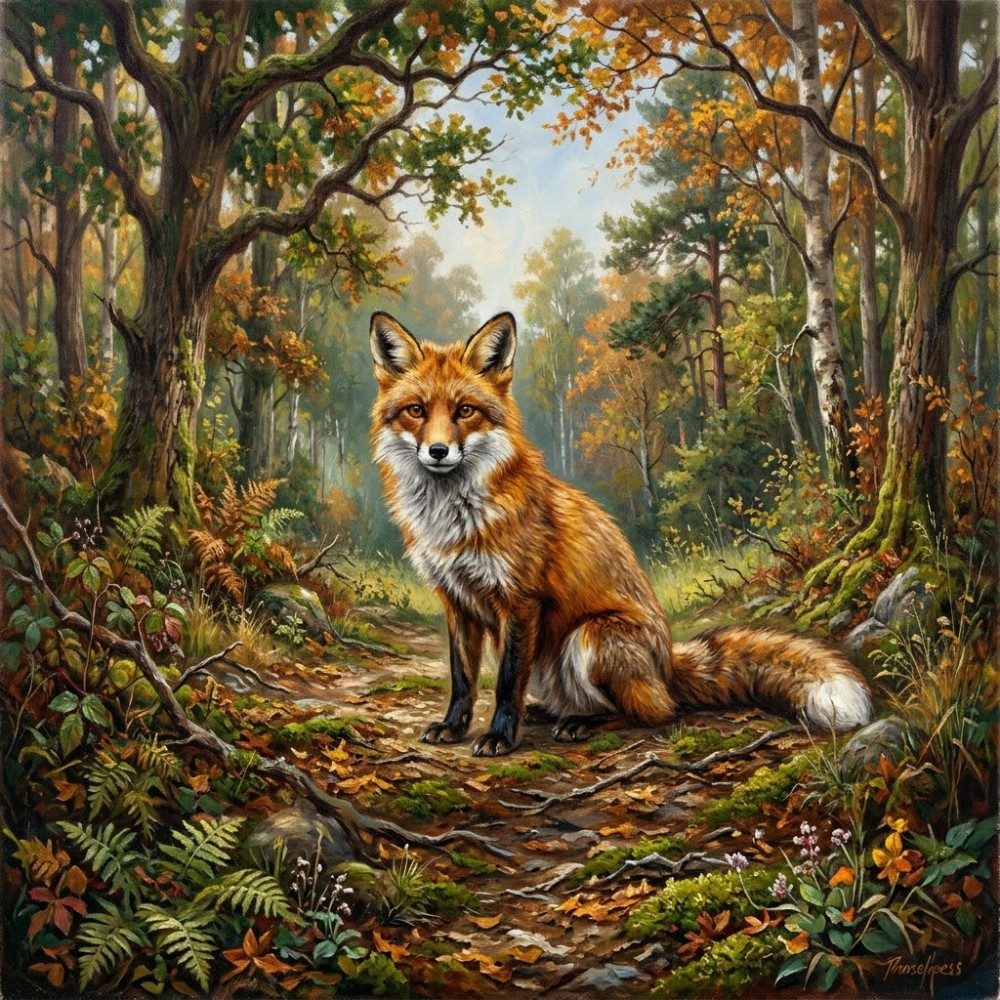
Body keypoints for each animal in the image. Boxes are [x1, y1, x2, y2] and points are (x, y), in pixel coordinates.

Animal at [369, 310, 874, 757]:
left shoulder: (520, 600)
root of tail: (667, 663)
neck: (454, 520)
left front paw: (499, 737)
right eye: (416, 411)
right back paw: (552, 713)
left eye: (465, 411)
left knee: (652, 712)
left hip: (590, 637)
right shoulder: (457, 601)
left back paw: (583, 722)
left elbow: (508, 683)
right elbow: (463, 679)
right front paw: (454, 727)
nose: (438, 451)